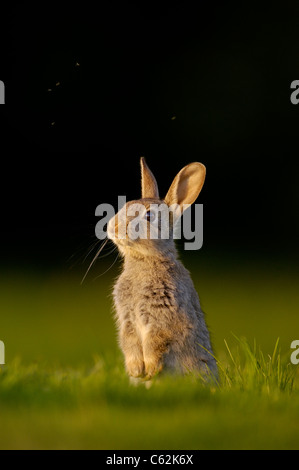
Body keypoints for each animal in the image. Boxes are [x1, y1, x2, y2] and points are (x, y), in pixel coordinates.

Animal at [108, 158, 218, 382]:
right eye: (125, 206)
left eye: (149, 215)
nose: (112, 228)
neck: (145, 260)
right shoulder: (127, 319)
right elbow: (129, 340)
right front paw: (136, 371)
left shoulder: (163, 315)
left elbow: (156, 342)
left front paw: (149, 370)